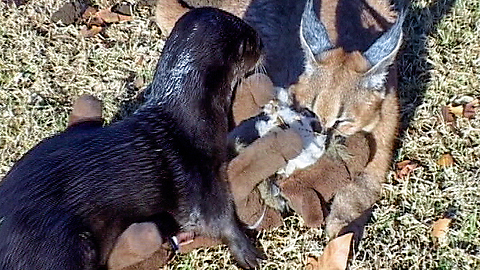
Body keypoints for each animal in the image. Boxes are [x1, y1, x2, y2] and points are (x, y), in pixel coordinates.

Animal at [0, 7, 262, 268]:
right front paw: (248, 251)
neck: (191, 120)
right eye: (250, 40)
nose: (261, 42)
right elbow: (216, 219)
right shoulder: (196, 174)